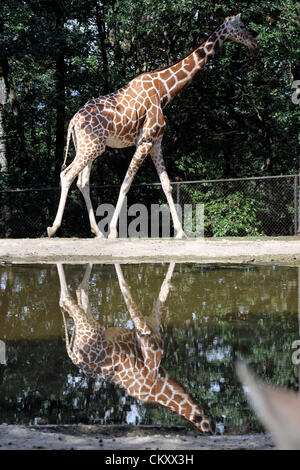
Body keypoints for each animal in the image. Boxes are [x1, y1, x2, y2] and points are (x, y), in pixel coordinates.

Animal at [47, 13, 258, 239]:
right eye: (242, 26)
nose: (254, 42)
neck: (164, 91)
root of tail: (73, 121)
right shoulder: (145, 141)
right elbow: (126, 184)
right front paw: (113, 231)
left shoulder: (156, 142)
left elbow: (167, 185)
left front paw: (180, 232)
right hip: (93, 147)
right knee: (67, 175)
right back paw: (54, 228)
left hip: (88, 147)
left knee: (82, 182)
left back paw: (97, 232)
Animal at [56, 260, 216, 434]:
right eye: (211, 429)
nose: (214, 425)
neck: (157, 384)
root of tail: (75, 356)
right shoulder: (149, 337)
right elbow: (129, 286)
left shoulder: (152, 328)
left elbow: (162, 287)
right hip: (89, 327)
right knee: (67, 298)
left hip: (91, 324)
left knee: (81, 290)